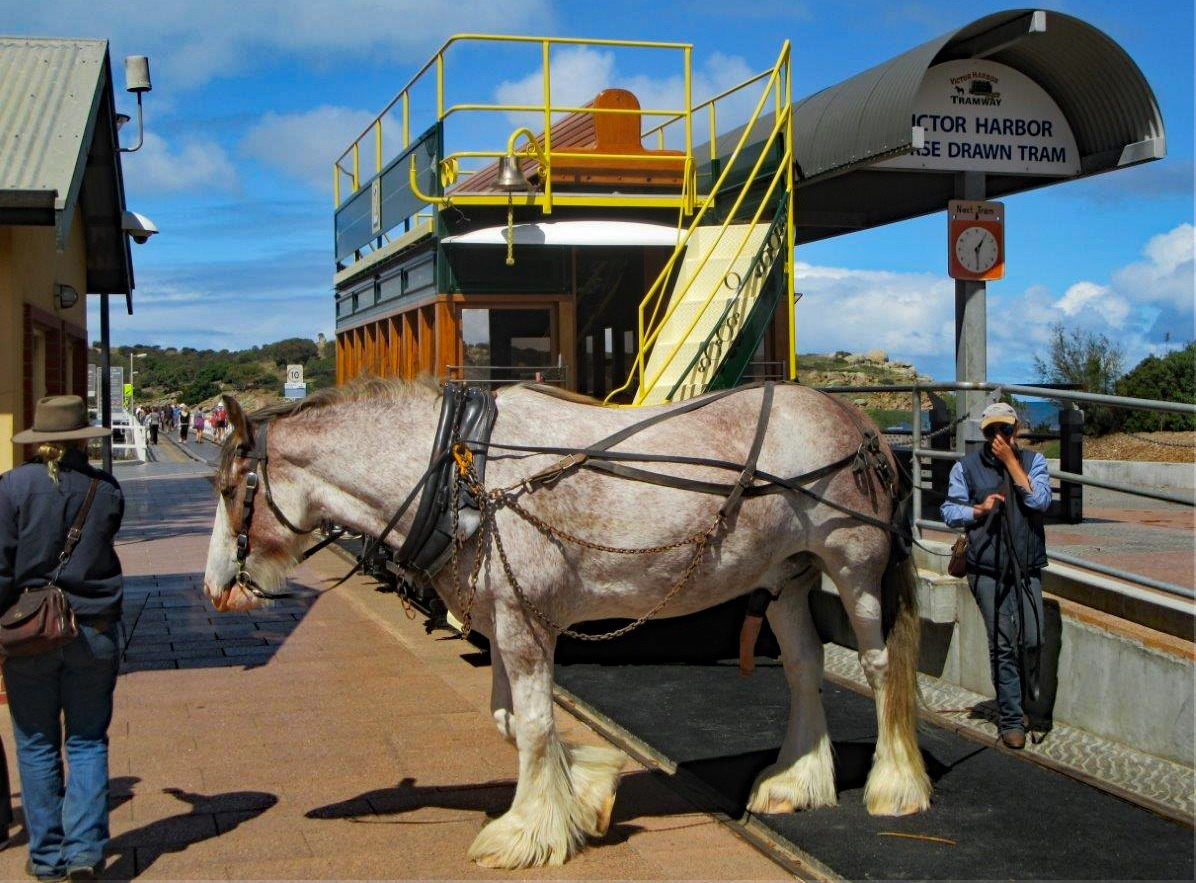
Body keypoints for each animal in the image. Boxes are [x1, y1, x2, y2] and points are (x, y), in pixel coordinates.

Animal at [203, 378, 932, 866]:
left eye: (228, 488)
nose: (213, 589)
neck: (465, 470)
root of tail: (859, 419)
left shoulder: (526, 623)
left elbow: (530, 725)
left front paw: (525, 831)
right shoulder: (502, 620)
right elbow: (511, 720)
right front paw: (588, 790)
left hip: (855, 566)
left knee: (880, 666)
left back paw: (895, 785)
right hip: (786, 578)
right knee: (805, 668)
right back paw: (797, 779)